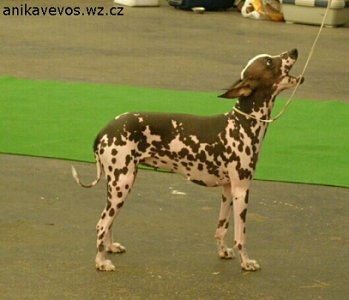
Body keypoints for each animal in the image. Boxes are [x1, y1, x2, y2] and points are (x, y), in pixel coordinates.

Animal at [72, 48, 304, 272]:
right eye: (269, 61)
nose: (294, 51)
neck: (242, 124)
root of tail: (103, 132)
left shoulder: (228, 190)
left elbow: (221, 228)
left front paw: (223, 251)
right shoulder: (241, 190)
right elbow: (241, 236)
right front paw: (246, 263)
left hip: (121, 185)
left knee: (109, 222)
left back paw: (110, 247)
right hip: (122, 184)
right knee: (102, 224)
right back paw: (101, 262)